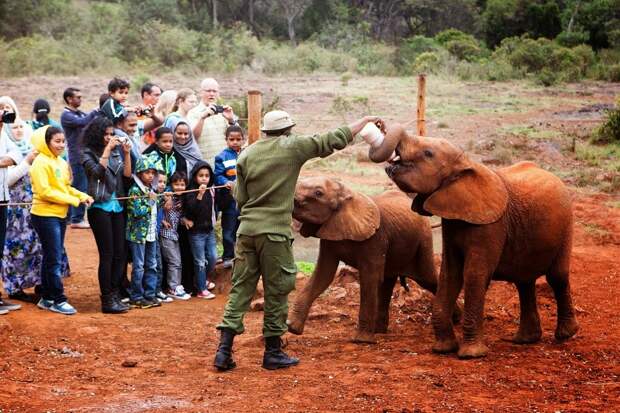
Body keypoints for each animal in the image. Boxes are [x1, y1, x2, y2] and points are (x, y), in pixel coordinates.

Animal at [288, 175, 438, 342]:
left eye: (318, 193)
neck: (348, 194)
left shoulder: (375, 239)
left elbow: (369, 278)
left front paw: (361, 340)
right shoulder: (329, 235)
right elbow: (323, 275)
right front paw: (292, 328)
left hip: (424, 239)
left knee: (427, 279)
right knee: (387, 283)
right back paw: (379, 331)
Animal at [366, 124, 580, 358]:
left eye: (428, 153)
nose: (380, 125)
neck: (465, 164)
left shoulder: (491, 226)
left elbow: (474, 274)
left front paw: (470, 354)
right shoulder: (452, 221)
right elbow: (449, 274)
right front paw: (443, 349)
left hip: (567, 225)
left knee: (557, 276)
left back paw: (566, 335)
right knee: (524, 281)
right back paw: (525, 340)